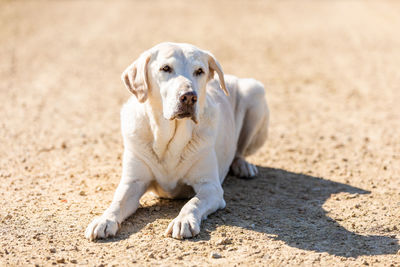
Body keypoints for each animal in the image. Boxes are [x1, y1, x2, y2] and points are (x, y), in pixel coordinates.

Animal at [86, 42, 270, 241]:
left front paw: (183, 221)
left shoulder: (211, 187)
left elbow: (193, 202)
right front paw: (104, 219)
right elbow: (117, 202)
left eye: (199, 71)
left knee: (239, 151)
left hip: (255, 93)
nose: (189, 96)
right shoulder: (132, 182)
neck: (169, 140)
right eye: (166, 68)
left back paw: (243, 166)